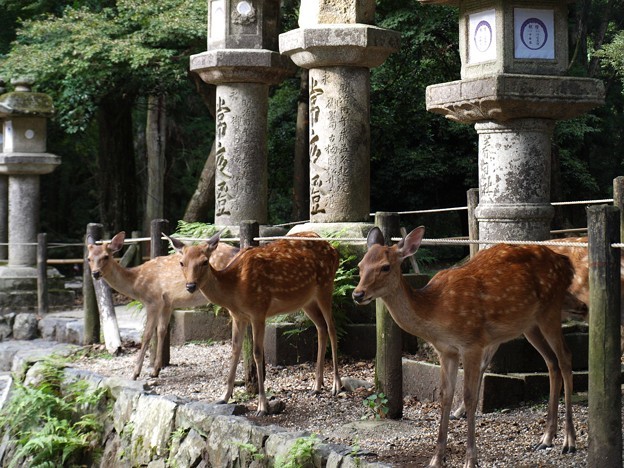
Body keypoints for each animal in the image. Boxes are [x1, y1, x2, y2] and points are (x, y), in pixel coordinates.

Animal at [89, 230, 240, 380]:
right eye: (89, 258)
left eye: (106, 256)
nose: (95, 273)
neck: (136, 283)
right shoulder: (167, 304)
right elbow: (161, 331)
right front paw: (155, 370)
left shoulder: (153, 301)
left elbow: (147, 334)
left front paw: (135, 373)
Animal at [166, 230, 342, 416]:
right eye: (181, 262)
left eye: (205, 261)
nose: (190, 286)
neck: (234, 290)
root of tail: (334, 249)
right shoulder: (238, 316)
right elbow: (235, 349)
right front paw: (223, 397)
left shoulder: (259, 311)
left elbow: (257, 353)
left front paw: (262, 406)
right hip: (306, 300)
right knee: (321, 327)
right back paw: (316, 386)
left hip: (326, 285)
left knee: (332, 328)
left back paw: (336, 386)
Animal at [354, 227, 576, 468]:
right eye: (360, 265)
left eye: (385, 266)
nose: (357, 294)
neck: (435, 311)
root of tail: (566, 263)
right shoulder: (445, 350)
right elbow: (446, 395)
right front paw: (436, 459)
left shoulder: (472, 343)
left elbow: (470, 397)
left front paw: (471, 459)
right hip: (529, 325)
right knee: (551, 362)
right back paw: (546, 438)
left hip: (551, 310)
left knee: (565, 359)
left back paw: (569, 441)